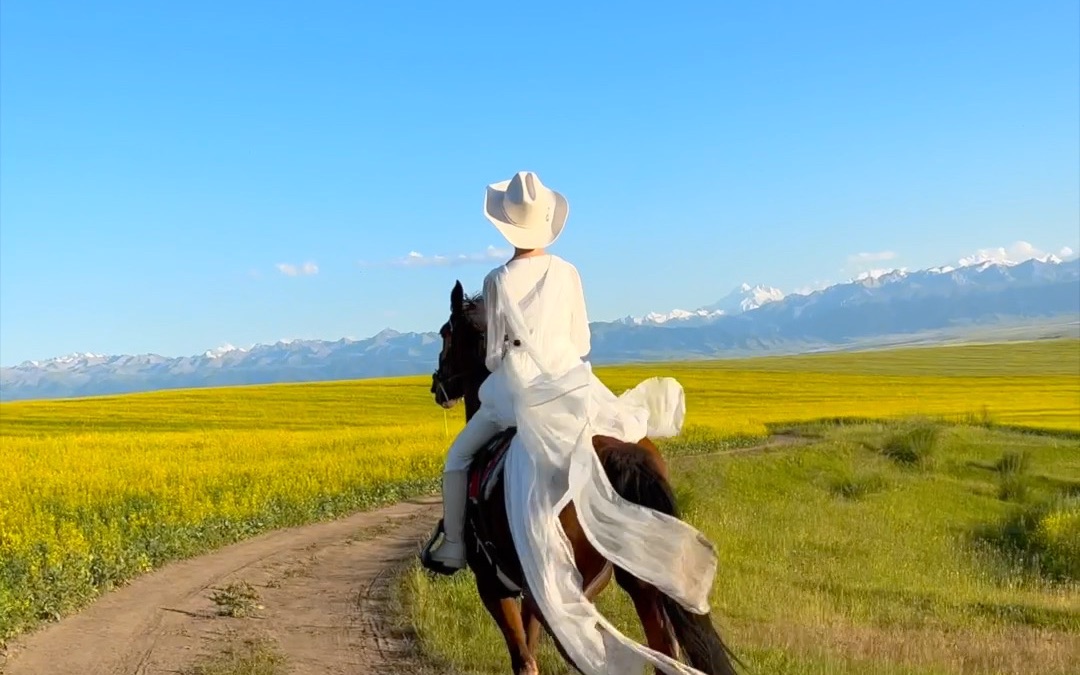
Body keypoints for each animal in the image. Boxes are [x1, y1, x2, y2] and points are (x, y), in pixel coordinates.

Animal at [416, 280, 738, 673]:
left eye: (445, 333)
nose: (438, 386)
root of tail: (612, 450)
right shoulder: (539, 593)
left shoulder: (494, 586)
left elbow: (524, 659)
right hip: (637, 581)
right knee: (663, 651)